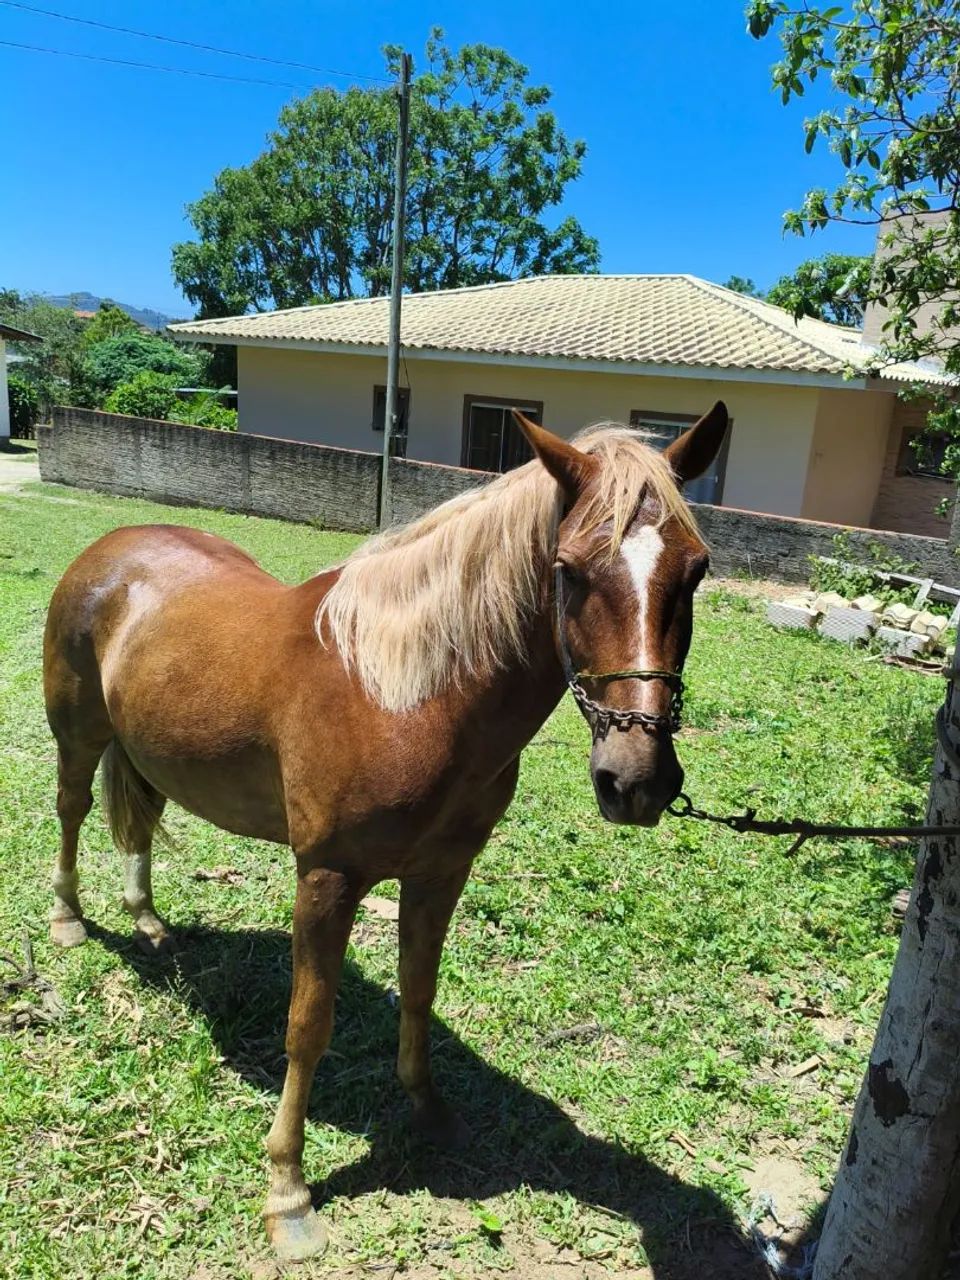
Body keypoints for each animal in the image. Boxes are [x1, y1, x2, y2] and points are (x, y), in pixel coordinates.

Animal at [43, 403, 728, 1259]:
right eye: (569, 570)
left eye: (696, 570)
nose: (635, 780)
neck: (404, 695)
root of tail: (111, 549)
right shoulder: (327, 880)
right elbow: (308, 1027)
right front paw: (288, 1190)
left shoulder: (441, 872)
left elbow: (419, 989)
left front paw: (429, 1111)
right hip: (78, 737)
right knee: (71, 812)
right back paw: (68, 917)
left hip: (143, 746)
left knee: (142, 817)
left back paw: (148, 919)